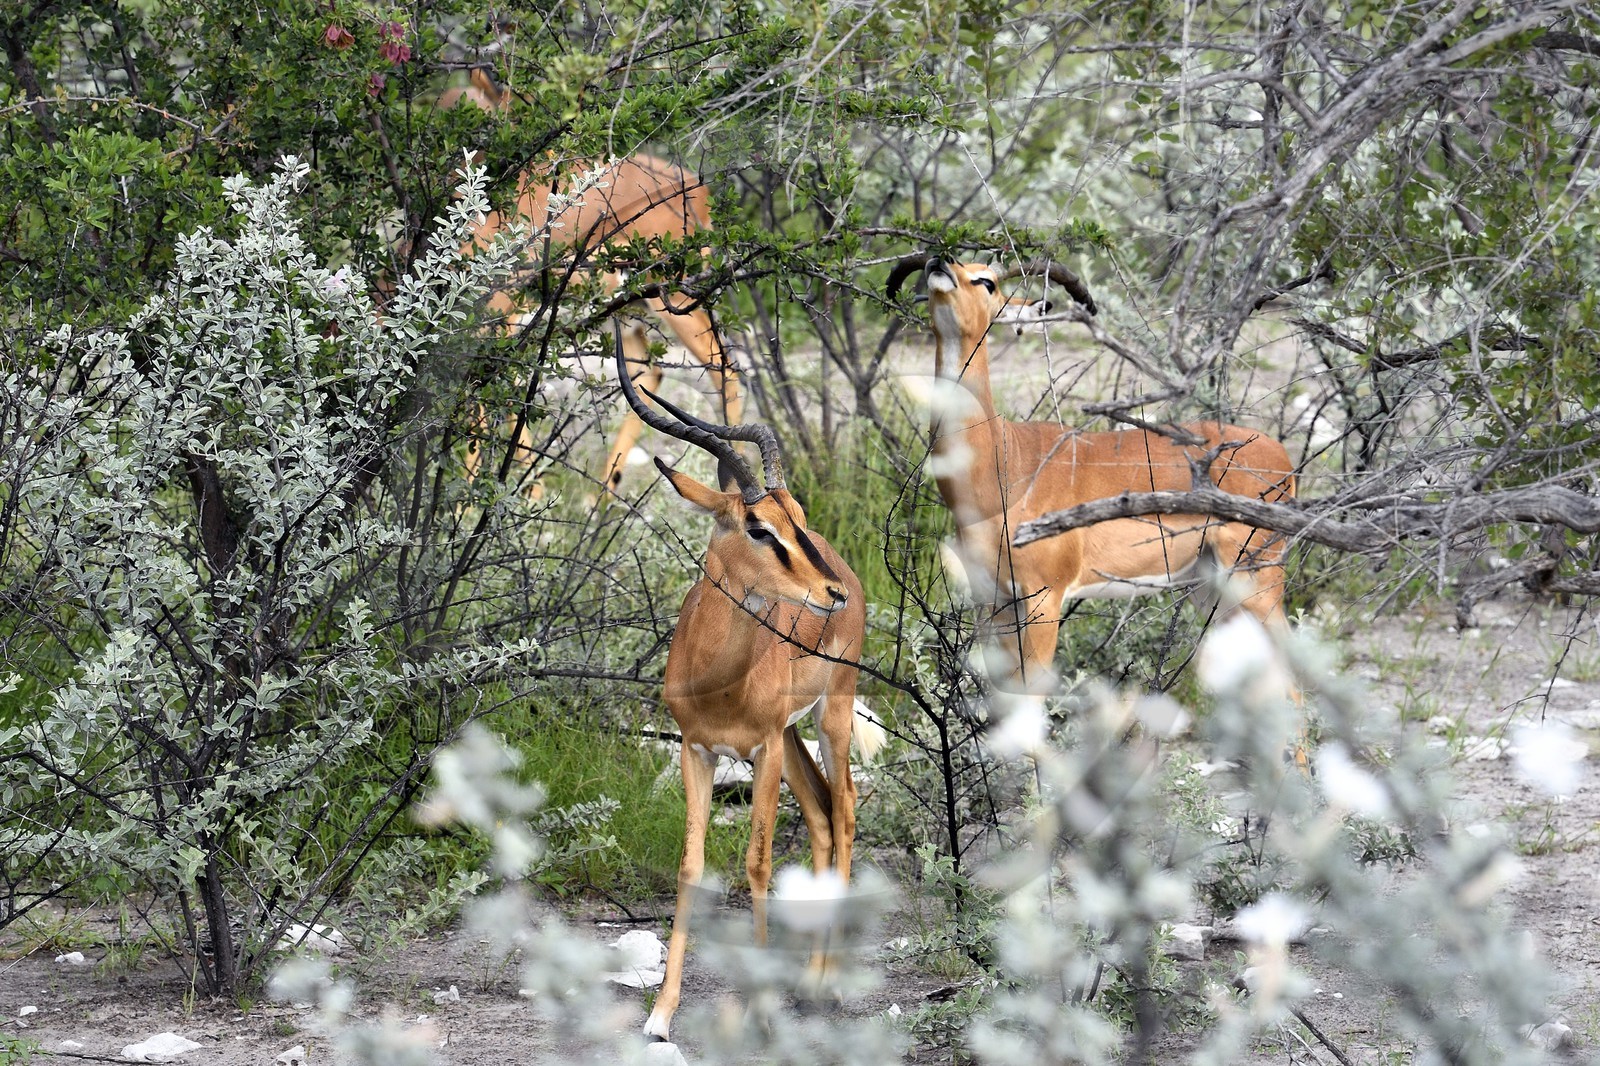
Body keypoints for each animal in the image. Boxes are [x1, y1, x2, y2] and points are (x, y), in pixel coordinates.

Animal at [443, 67, 740, 492]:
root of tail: (695, 187)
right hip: (629, 312)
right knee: (653, 373)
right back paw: (601, 497)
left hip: (673, 303)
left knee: (724, 371)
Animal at [612, 324, 877, 1042]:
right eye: (759, 527)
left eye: (797, 516)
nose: (831, 592)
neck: (716, 680)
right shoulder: (699, 751)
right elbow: (691, 865)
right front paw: (660, 1015)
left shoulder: (755, 750)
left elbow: (757, 862)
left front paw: (759, 1006)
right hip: (788, 739)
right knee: (820, 815)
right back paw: (808, 980)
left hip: (828, 716)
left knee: (845, 807)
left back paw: (825, 984)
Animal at [886, 256, 1297, 697]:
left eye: (987, 281)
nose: (939, 260)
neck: (1004, 474)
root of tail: (1281, 456)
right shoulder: (992, 600)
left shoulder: (1045, 598)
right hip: (1211, 587)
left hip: (1258, 580)